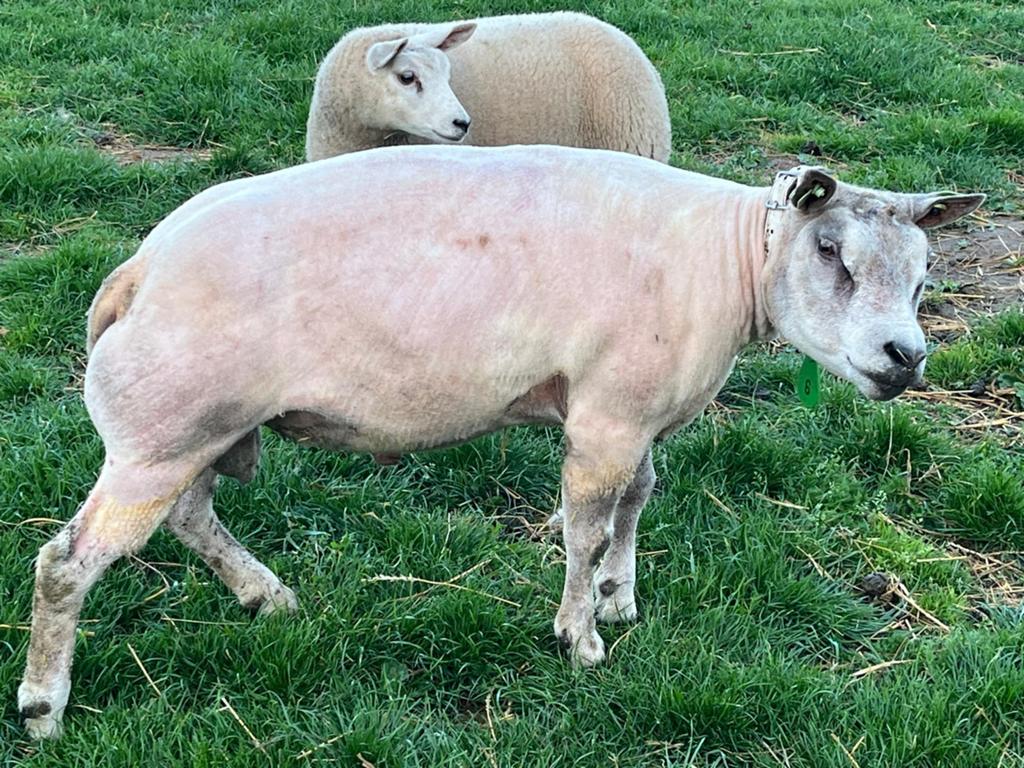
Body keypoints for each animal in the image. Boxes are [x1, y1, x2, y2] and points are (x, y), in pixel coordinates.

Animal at [18, 144, 983, 738]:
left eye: (927, 275)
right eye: (832, 252)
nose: (904, 358)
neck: (730, 260)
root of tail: (136, 270)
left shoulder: (635, 410)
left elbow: (638, 501)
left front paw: (620, 597)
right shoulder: (606, 418)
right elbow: (587, 525)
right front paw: (580, 638)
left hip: (191, 430)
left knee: (189, 519)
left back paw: (267, 597)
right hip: (163, 431)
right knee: (66, 564)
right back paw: (41, 706)